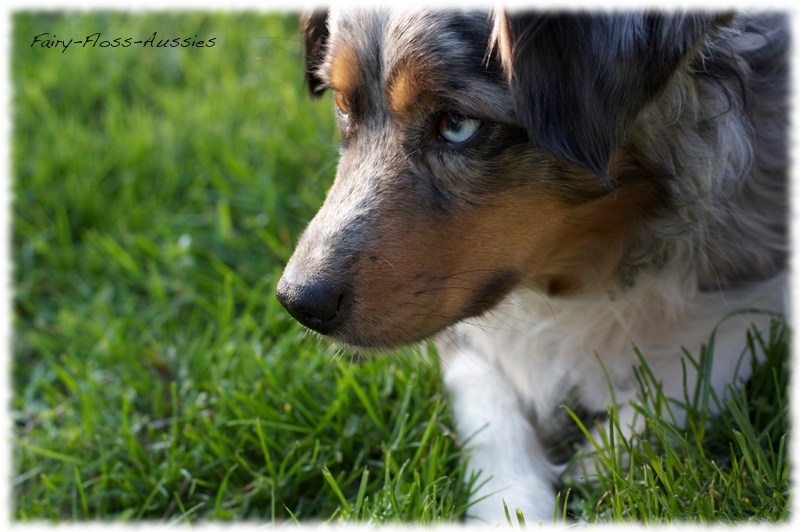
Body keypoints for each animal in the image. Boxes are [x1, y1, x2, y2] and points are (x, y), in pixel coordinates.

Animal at [276, 8, 788, 524]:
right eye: (342, 103)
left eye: (457, 123)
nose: (299, 301)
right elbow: (491, 411)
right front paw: (516, 507)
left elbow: (706, 358)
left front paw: (605, 455)